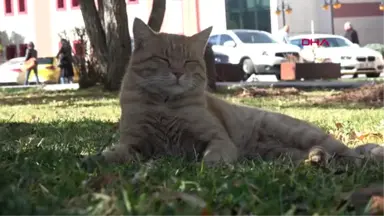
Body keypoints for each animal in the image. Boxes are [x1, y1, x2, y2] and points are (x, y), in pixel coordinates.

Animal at [81, 17, 384, 171]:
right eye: (164, 59)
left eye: (189, 62)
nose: (178, 73)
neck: (165, 106)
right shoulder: (134, 142)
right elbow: (115, 151)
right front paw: (98, 157)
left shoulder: (216, 138)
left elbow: (215, 154)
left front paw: (211, 165)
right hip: (278, 153)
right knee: (318, 155)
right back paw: (316, 159)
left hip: (300, 133)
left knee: (350, 153)